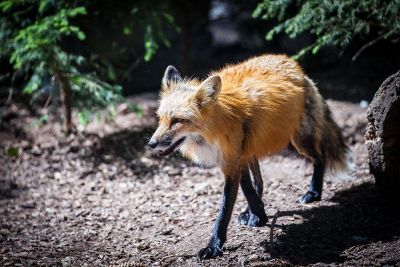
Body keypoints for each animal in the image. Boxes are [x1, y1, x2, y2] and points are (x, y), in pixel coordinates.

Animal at [147, 54, 346, 260]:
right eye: (160, 119)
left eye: (177, 120)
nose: (151, 144)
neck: (215, 130)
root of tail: (296, 67)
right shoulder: (234, 158)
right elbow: (248, 188)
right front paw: (257, 214)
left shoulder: (232, 162)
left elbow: (225, 208)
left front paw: (214, 245)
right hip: (252, 149)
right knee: (260, 181)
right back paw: (250, 211)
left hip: (299, 141)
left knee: (320, 158)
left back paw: (314, 192)